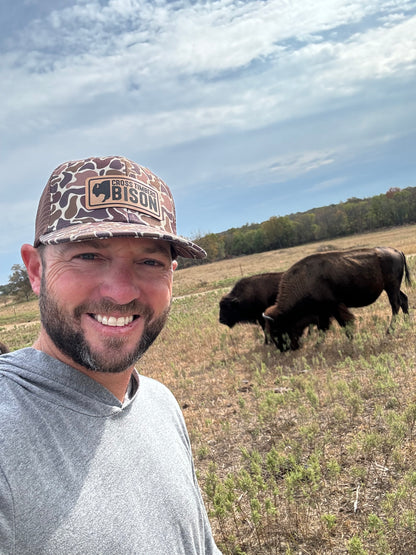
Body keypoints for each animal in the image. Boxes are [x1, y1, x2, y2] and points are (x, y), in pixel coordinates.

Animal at [264, 248, 410, 352]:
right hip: (393, 288)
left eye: (276, 331)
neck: (305, 280)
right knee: (403, 300)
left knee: (395, 305)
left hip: (391, 287)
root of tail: (397, 251)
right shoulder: (323, 313)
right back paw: (407, 322)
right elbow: (324, 328)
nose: (284, 349)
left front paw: (350, 340)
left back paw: (389, 331)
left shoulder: (333, 308)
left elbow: (342, 324)